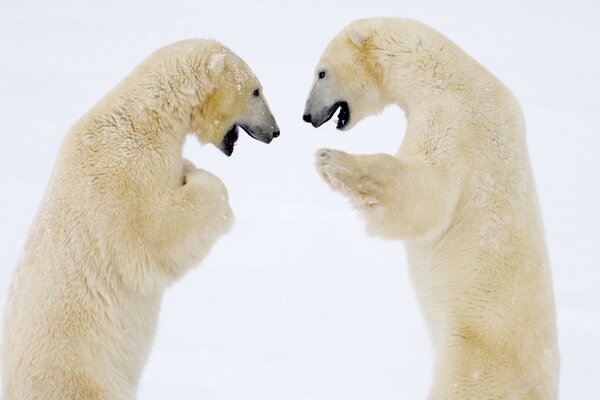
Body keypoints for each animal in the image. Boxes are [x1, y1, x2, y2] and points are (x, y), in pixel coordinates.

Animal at [2, 39, 280, 400]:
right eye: (256, 91)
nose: (275, 131)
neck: (145, 117)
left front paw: (189, 168)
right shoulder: (127, 173)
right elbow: (159, 233)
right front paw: (200, 179)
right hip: (82, 376)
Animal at [304, 17, 564, 398]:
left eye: (321, 72)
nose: (307, 115)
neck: (442, 72)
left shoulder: (455, 121)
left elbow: (428, 196)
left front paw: (332, 160)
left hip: (473, 362)